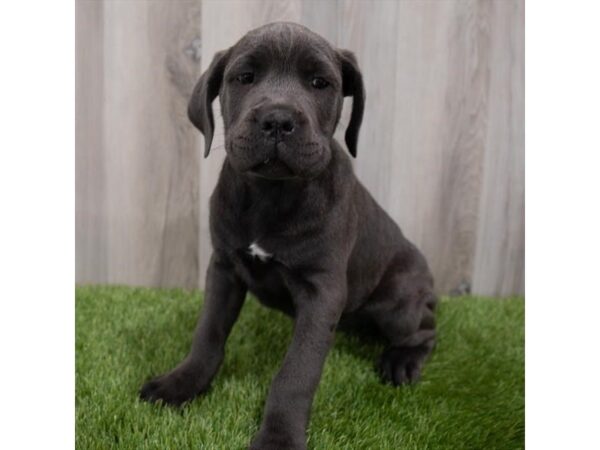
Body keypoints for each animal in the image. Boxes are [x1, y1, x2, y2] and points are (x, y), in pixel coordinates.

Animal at [143, 22, 438, 450]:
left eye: (319, 83)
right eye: (245, 77)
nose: (278, 120)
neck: (272, 194)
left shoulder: (321, 292)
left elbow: (296, 374)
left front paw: (279, 437)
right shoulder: (224, 268)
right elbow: (207, 335)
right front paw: (180, 384)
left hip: (398, 303)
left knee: (426, 327)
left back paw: (401, 362)